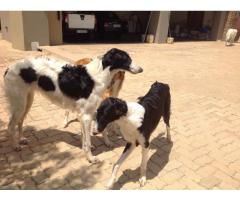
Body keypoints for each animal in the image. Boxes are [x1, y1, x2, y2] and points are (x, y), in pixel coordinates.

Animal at [3, 47, 142, 163]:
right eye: (126, 58)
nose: (141, 69)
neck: (98, 75)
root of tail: (9, 68)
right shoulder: (86, 116)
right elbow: (87, 141)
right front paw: (91, 158)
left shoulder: (85, 114)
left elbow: (85, 138)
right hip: (19, 104)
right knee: (10, 126)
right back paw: (15, 145)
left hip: (27, 102)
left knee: (20, 122)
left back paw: (21, 139)